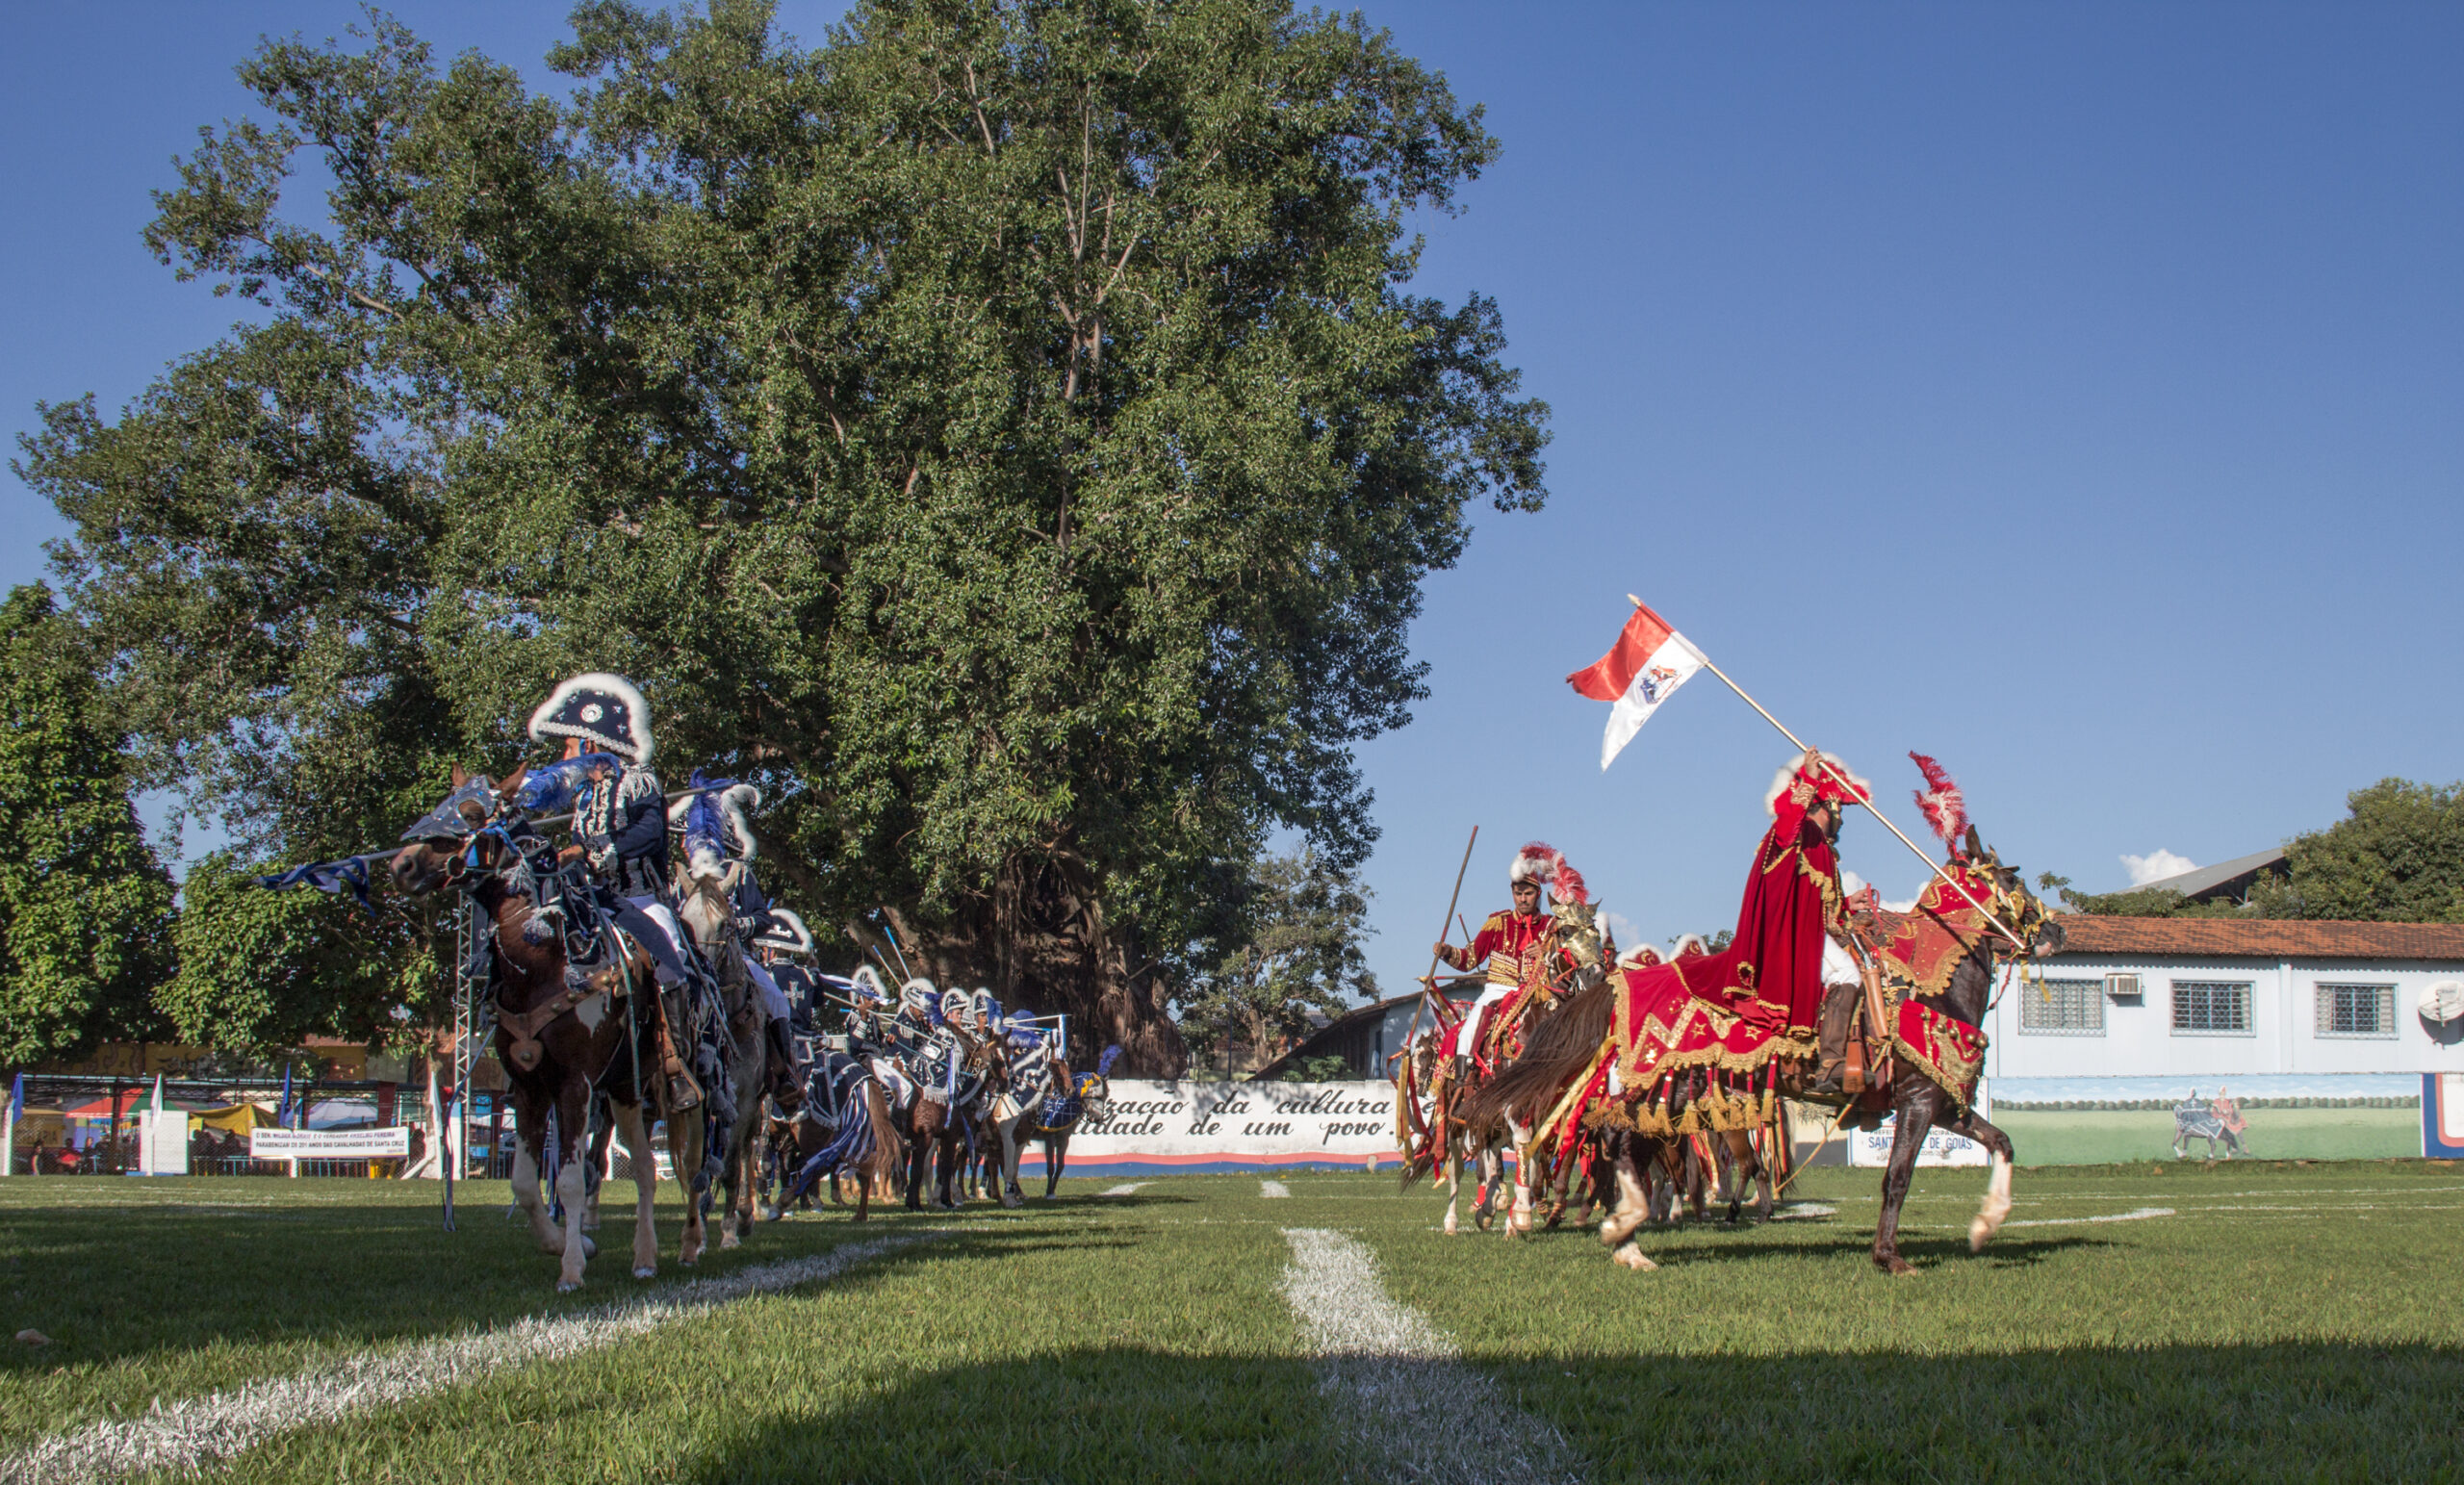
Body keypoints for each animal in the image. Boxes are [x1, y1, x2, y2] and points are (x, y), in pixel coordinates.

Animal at [392, 768, 684, 1290]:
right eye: (442, 803)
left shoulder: (574, 1084)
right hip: (615, 1092)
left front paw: (570, 1269)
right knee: (630, 1167)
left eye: (472, 813)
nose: (401, 865)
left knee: (647, 1170)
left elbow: (567, 1181)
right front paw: (569, 1244)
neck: (539, 961)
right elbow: (527, 1185)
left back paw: (646, 1257)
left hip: (632, 1089)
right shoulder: (528, 1087)